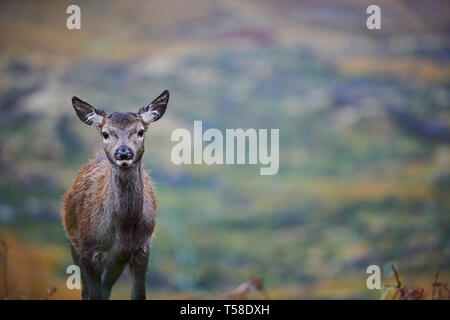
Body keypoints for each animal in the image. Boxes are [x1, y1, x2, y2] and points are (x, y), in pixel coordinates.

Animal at [61, 90, 169, 300]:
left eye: (140, 131)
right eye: (106, 133)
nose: (123, 152)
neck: (123, 229)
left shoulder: (142, 249)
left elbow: (138, 294)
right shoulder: (88, 250)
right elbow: (92, 293)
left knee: (106, 287)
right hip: (73, 242)